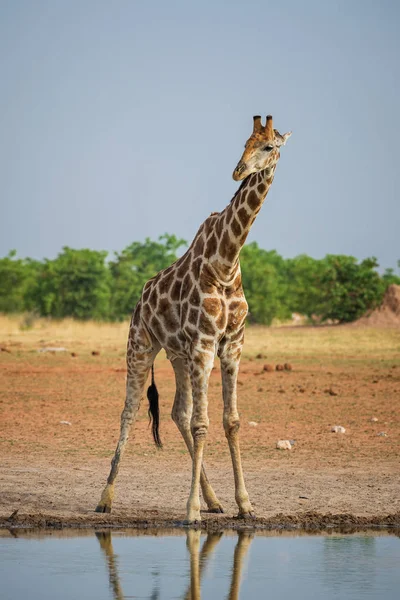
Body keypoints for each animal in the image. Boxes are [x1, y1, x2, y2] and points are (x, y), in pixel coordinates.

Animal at [95, 112, 292, 520]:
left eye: (268, 146)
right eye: (245, 143)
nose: (238, 170)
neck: (226, 260)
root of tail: (141, 298)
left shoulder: (232, 343)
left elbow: (230, 421)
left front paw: (244, 504)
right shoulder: (204, 342)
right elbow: (203, 424)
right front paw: (191, 512)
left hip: (177, 355)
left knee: (176, 413)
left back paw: (213, 500)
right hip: (141, 345)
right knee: (130, 410)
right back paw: (105, 498)